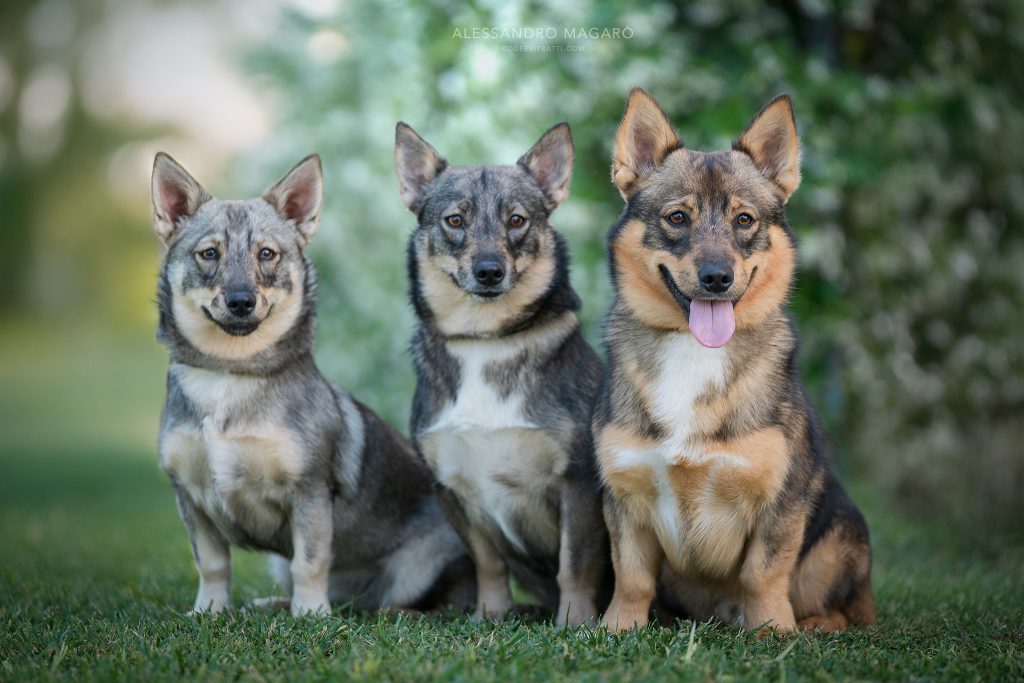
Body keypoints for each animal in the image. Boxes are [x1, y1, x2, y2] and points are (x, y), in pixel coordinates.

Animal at [151, 152, 474, 616]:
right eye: (208, 253)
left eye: (267, 253)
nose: (240, 301)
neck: (230, 375)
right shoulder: (191, 497)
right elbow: (212, 565)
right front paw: (209, 612)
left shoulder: (310, 493)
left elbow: (310, 559)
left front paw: (311, 615)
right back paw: (273, 604)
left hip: (421, 564)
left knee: (424, 603)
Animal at [394, 122, 611, 625]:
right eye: (455, 221)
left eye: (517, 220)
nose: (489, 272)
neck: (485, 340)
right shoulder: (453, 489)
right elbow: (488, 563)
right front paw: (489, 616)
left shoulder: (578, 481)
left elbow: (575, 564)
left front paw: (576, 624)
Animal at [595, 90, 876, 633]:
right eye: (677, 218)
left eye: (744, 220)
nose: (716, 278)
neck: (694, 353)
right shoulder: (624, 498)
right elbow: (631, 577)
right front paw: (618, 629)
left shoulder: (780, 501)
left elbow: (763, 576)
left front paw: (773, 633)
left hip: (841, 534)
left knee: (851, 612)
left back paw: (816, 625)